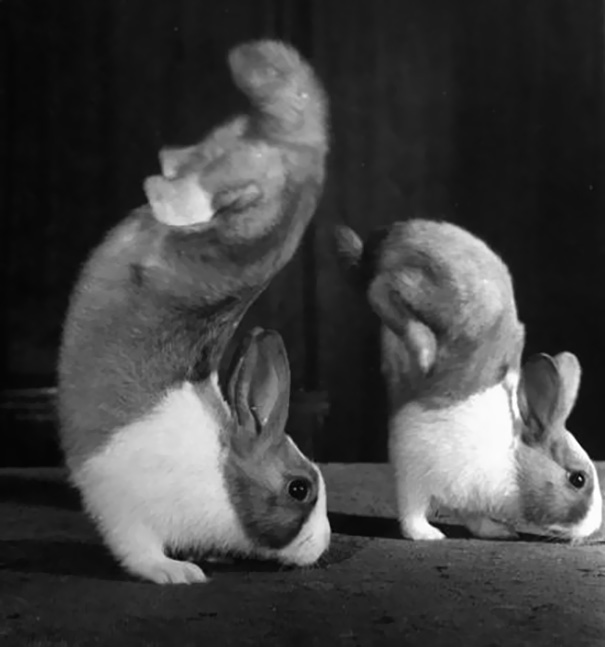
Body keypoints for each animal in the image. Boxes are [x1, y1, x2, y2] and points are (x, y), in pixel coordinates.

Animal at [57, 40, 330, 583]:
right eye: (299, 488)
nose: (322, 547)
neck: (219, 470)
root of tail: (306, 146)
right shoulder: (125, 514)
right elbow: (138, 551)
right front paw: (175, 573)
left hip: (251, 181)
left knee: (205, 162)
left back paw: (170, 173)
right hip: (252, 203)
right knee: (214, 189)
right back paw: (171, 196)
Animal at [335, 218, 603, 542]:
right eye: (578, 479)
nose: (595, 527)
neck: (513, 462)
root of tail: (391, 234)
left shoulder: (468, 497)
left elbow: (474, 518)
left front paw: (498, 531)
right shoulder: (414, 472)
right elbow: (412, 511)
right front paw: (427, 534)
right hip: (441, 293)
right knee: (380, 288)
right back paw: (423, 349)